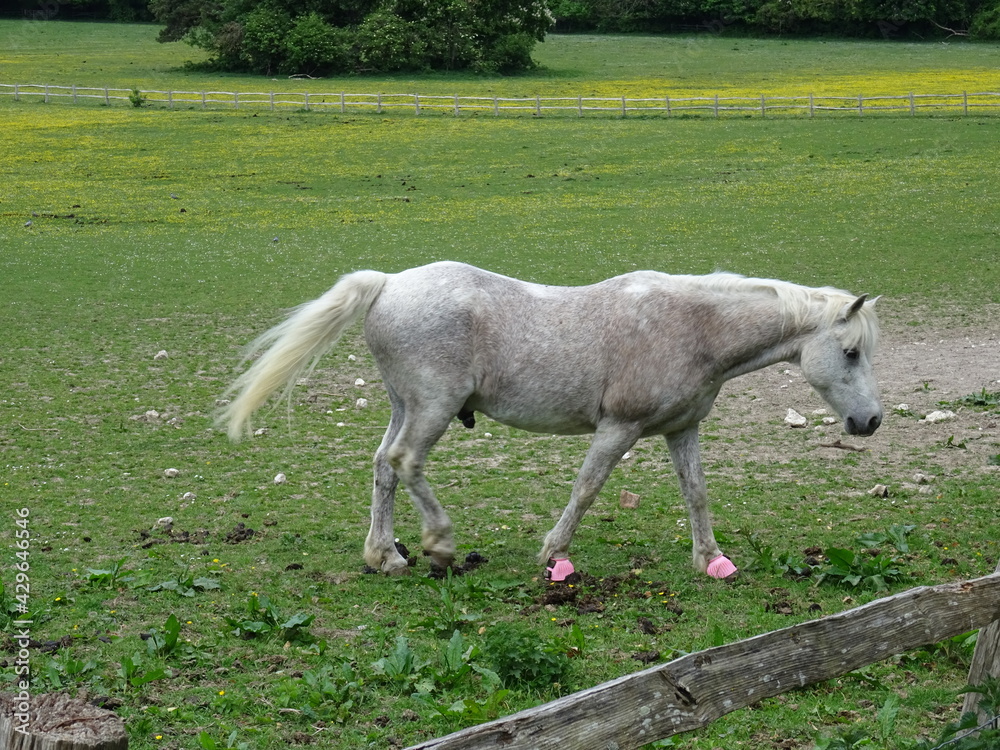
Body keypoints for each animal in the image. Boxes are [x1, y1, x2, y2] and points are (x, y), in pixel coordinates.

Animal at [219, 261, 882, 581]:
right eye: (851, 352)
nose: (871, 421)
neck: (694, 328)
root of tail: (388, 285)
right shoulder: (618, 430)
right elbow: (586, 490)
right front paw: (555, 557)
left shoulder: (681, 429)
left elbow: (696, 493)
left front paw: (712, 561)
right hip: (432, 408)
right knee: (406, 463)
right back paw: (439, 546)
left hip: (404, 406)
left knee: (383, 465)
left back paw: (386, 556)